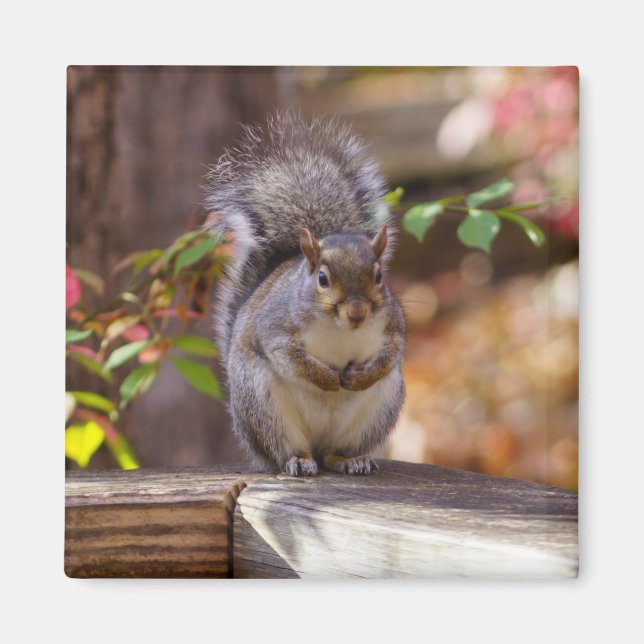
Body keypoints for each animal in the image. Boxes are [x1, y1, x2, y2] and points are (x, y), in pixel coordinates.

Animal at [204, 112, 405, 476]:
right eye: (322, 278)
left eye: (379, 275)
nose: (357, 312)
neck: (340, 329)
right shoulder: (274, 326)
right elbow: (288, 355)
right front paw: (328, 379)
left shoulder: (393, 326)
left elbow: (392, 354)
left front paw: (359, 376)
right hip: (264, 408)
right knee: (287, 450)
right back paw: (298, 461)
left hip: (377, 411)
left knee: (332, 453)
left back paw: (351, 460)